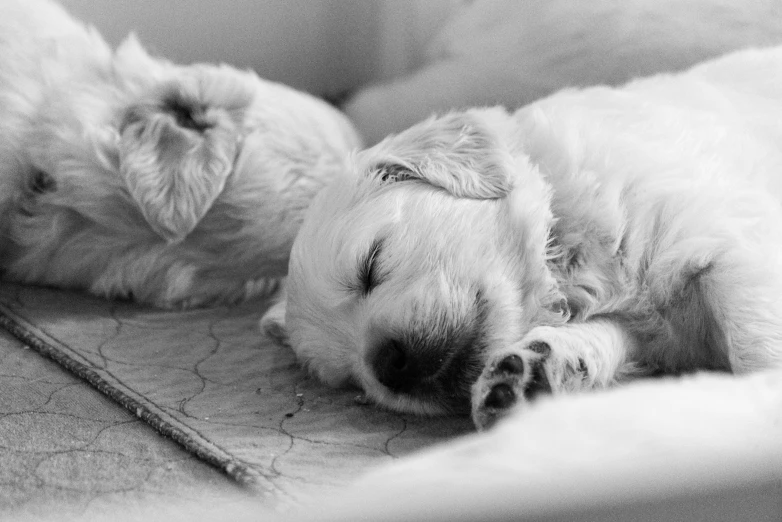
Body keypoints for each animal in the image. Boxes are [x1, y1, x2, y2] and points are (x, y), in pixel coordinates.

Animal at [262, 45, 782, 426]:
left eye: (371, 264)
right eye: (351, 379)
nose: (388, 365)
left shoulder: (731, 246)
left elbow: (757, 346)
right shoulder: (649, 328)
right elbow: (605, 337)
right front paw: (531, 370)